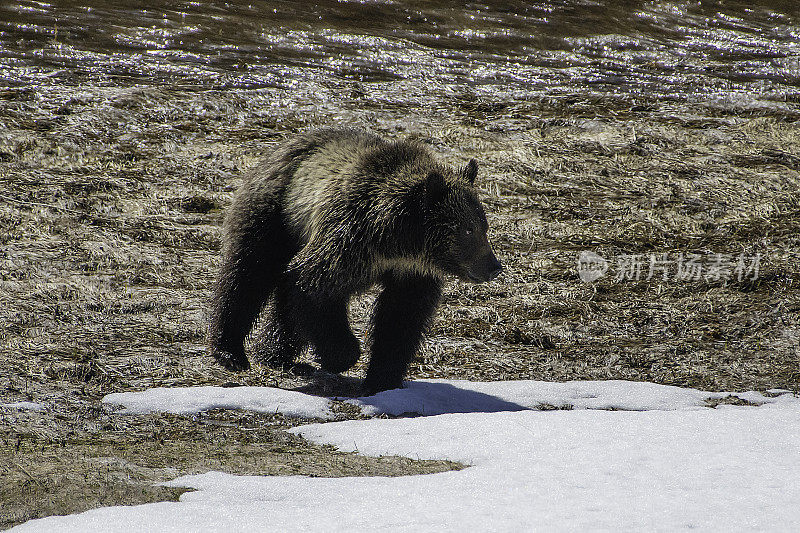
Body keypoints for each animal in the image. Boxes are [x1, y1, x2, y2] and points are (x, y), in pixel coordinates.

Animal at [209, 128, 504, 392]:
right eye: (467, 229)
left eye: (484, 225)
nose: (494, 267)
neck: (397, 244)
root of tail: (280, 147)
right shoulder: (348, 240)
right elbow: (312, 285)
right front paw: (342, 356)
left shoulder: (411, 273)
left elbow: (401, 317)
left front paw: (383, 379)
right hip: (276, 216)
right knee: (247, 274)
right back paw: (230, 351)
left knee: (280, 296)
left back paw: (278, 356)